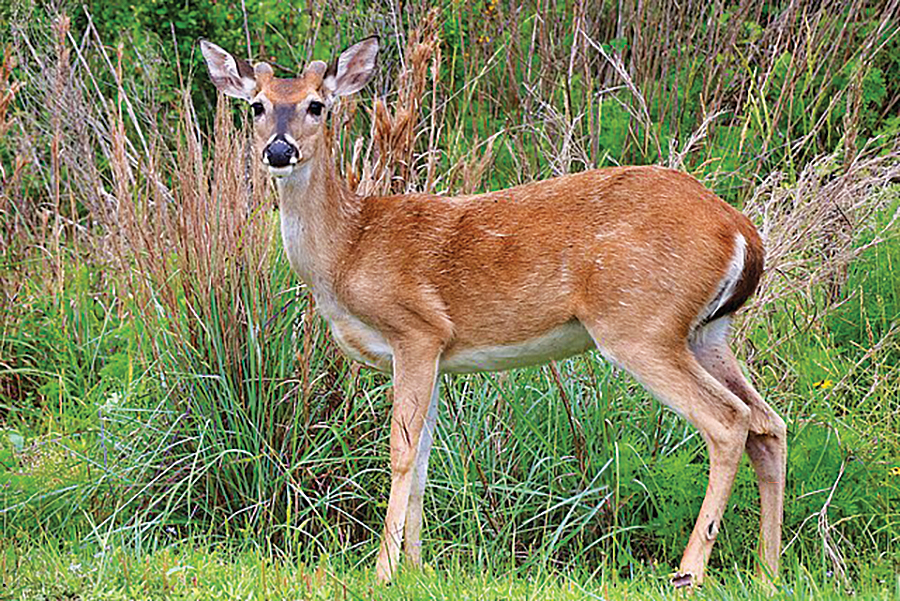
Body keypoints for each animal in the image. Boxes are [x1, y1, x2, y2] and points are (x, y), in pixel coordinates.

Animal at [200, 36, 786, 589]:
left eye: (317, 105)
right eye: (256, 105)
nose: (279, 150)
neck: (348, 248)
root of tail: (743, 233)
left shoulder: (417, 329)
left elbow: (400, 453)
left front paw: (384, 570)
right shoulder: (437, 354)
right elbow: (425, 456)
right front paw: (418, 567)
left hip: (640, 322)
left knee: (729, 421)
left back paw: (690, 571)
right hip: (706, 330)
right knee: (768, 422)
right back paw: (767, 570)